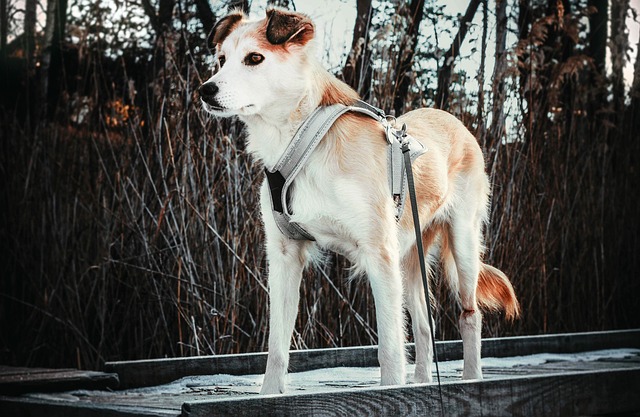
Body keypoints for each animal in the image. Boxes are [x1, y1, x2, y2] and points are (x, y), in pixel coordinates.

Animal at [200, 7, 520, 394]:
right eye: (221, 60)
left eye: (254, 58)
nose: (205, 90)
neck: (305, 142)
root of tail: (452, 119)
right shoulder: (284, 256)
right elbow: (276, 348)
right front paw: (267, 395)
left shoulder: (378, 254)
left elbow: (390, 348)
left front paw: (392, 389)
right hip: (410, 258)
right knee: (424, 325)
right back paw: (422, 382)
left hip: (462, 245)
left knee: (469, 315)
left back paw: (472, 378)